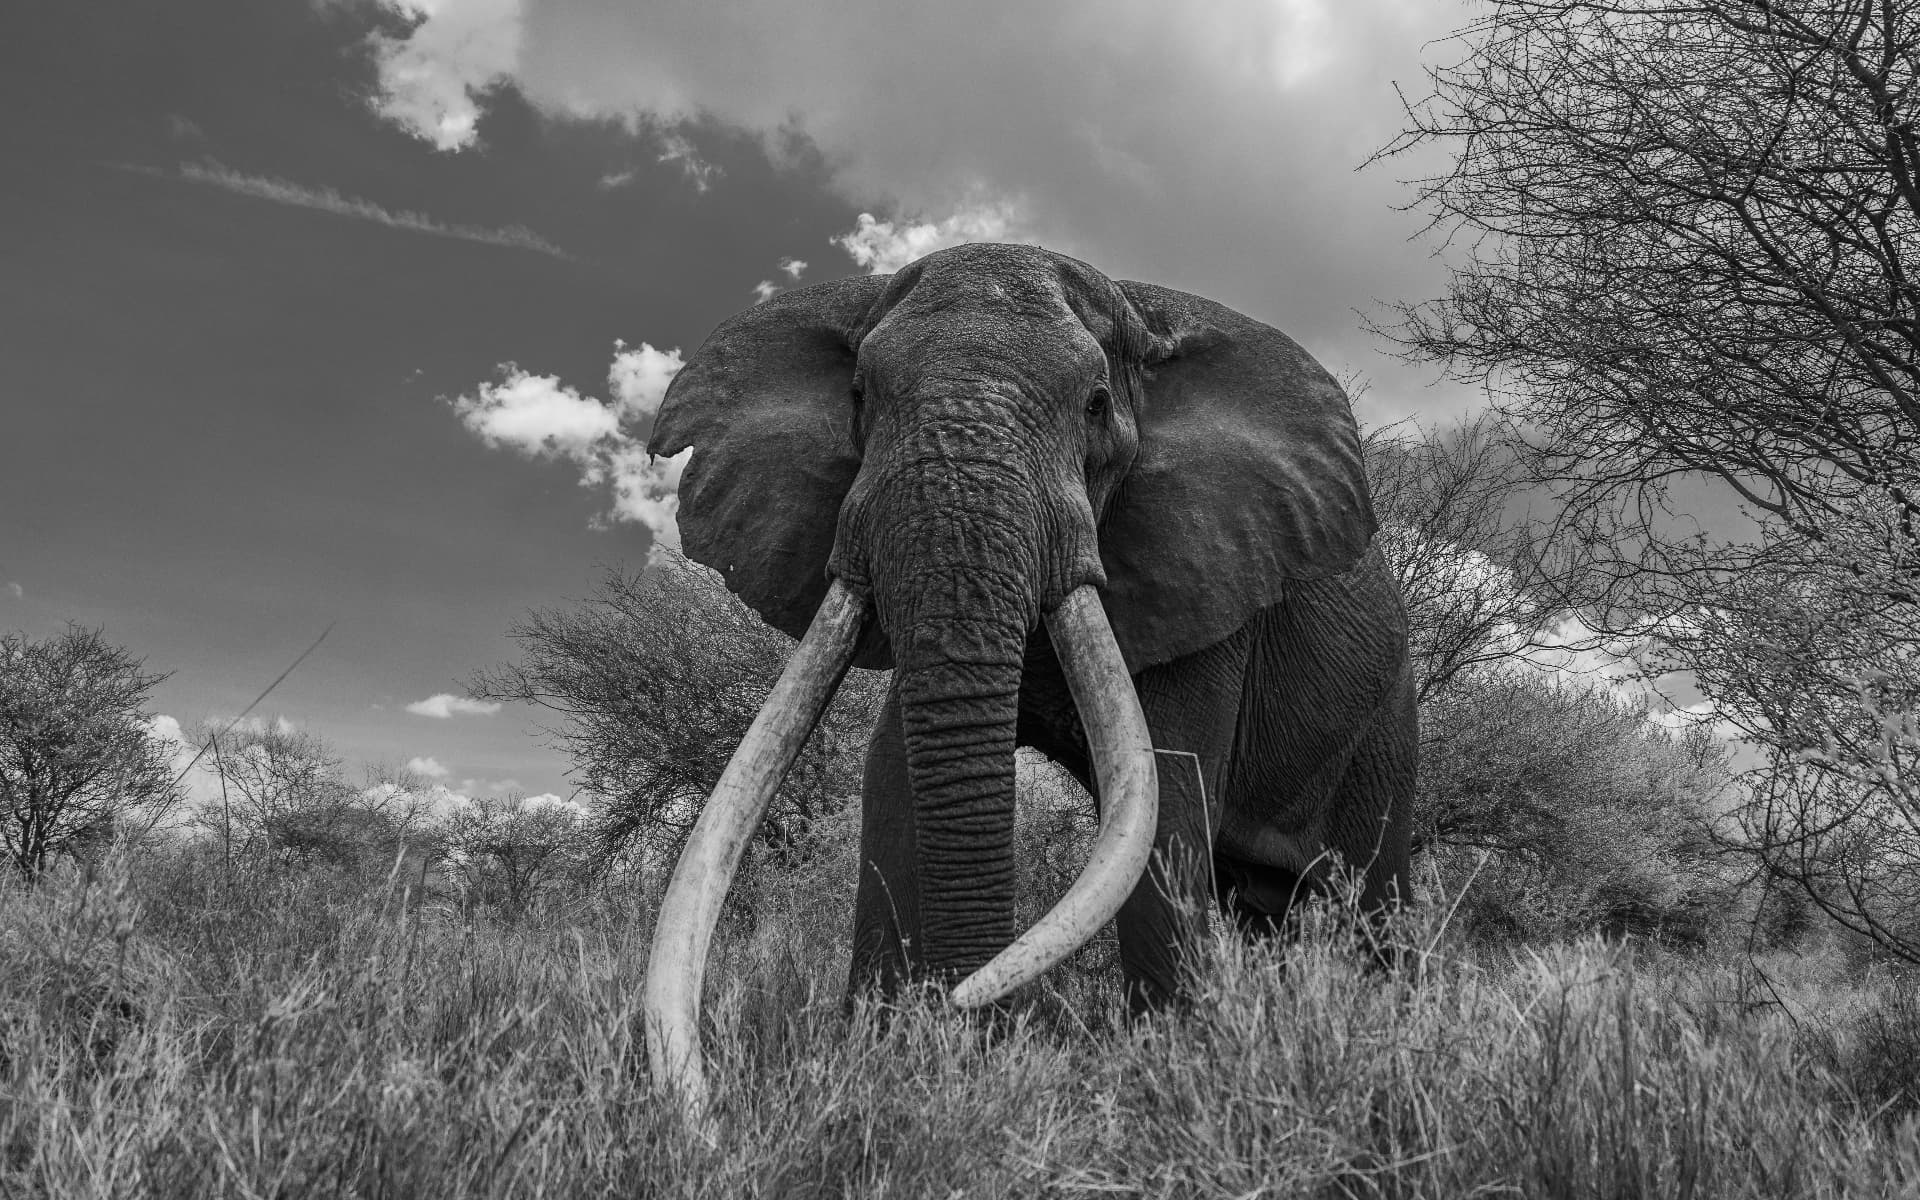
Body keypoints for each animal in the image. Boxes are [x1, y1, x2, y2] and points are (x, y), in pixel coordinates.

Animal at [640, 243, 1416, 1105]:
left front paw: (1168, 1070)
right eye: (858, 396)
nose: (965, 1013)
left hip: (1387, 718)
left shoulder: (1211, 579)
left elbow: (1168, 801)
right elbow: (895, 780)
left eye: (1097, 404)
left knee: (1372, 901)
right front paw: (880, 1063)